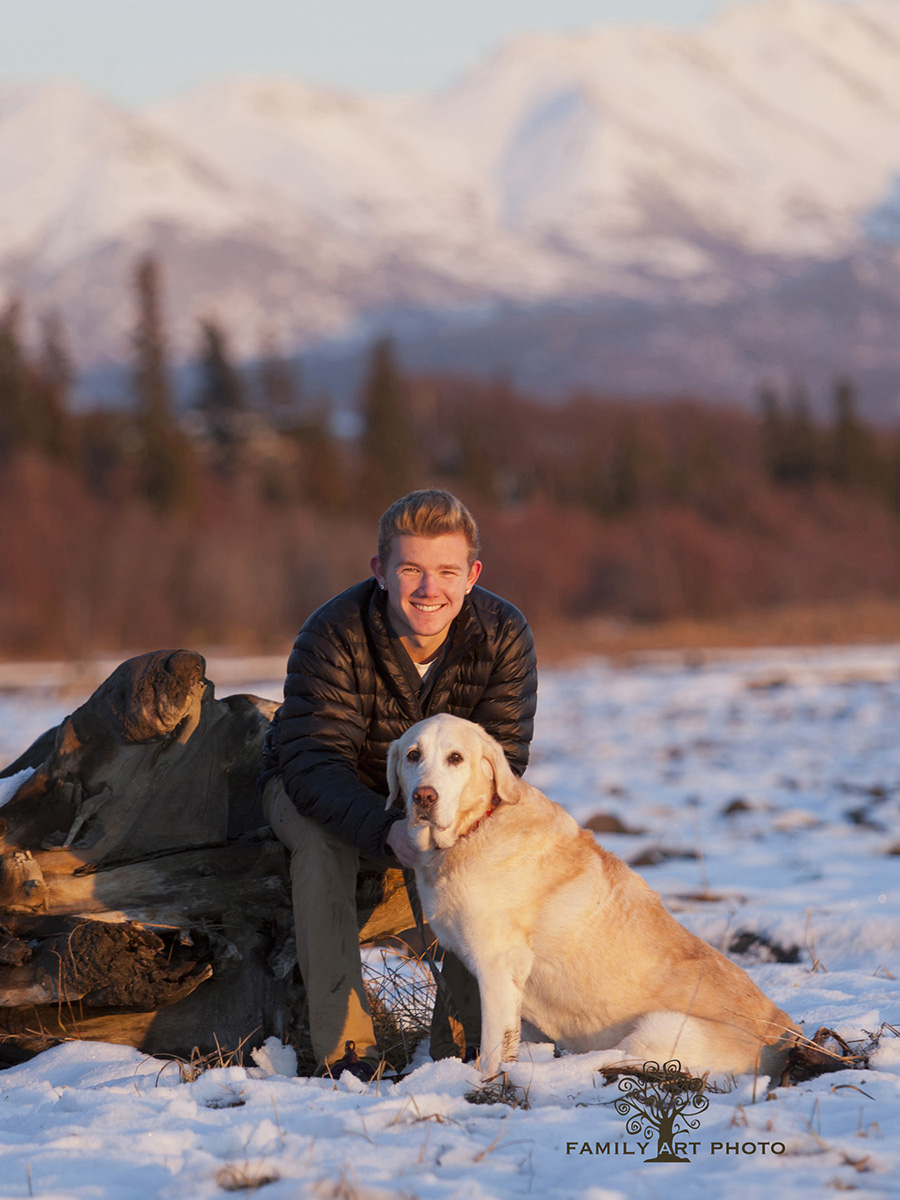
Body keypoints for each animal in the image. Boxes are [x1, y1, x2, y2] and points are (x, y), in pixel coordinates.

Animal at [388, 710, 801, 1080]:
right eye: (413, 755)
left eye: (455, 758)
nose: (424, 797)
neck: (473, 829)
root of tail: (787, 1039)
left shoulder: (498, 965)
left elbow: (493, 1047)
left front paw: (484, 1079)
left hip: (657, 1028)